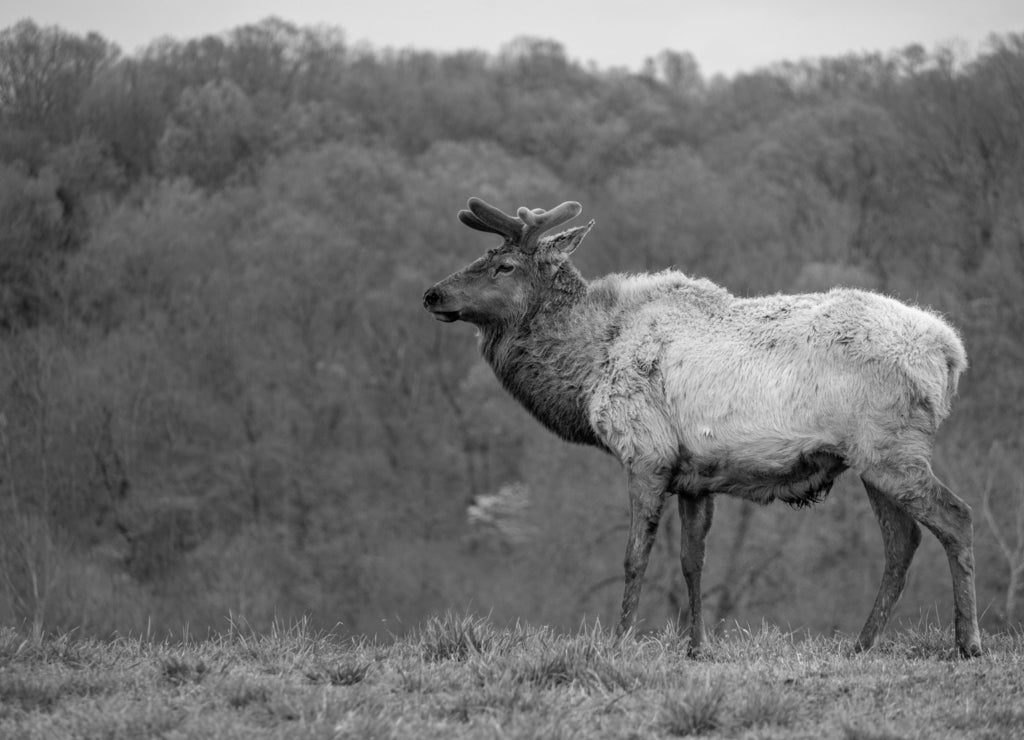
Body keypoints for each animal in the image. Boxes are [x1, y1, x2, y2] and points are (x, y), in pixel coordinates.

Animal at [423, 196, 983, 659]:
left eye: (504, 265)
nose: (432, 294)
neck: (588, 368)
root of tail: (950, 353)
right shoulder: (695, 477)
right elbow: (694, 561)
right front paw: (695, 647)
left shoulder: (645, 453)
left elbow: (635, 557)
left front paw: (620, 641)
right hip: (871, 459)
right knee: (903, 543)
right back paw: (862, 644)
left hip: (890, 448)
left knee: (956, 516)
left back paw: (967, 642)